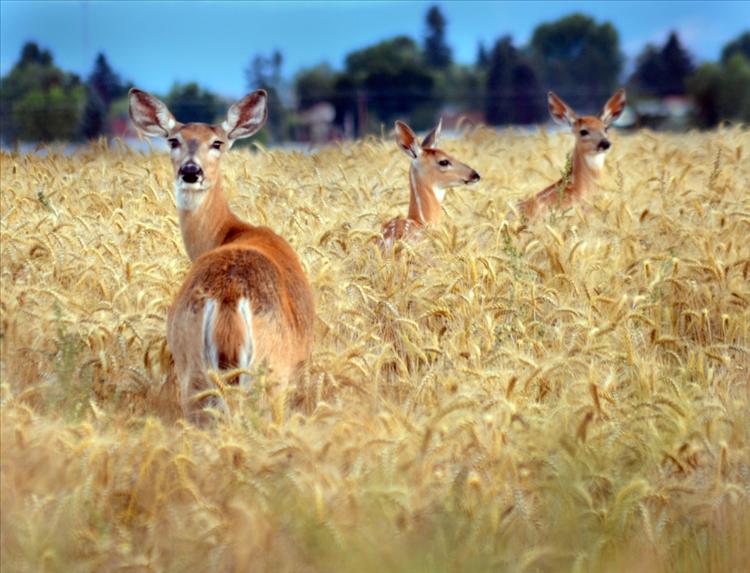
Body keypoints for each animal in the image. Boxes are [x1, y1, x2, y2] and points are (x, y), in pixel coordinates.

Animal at [129, 87, 314, 422]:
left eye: (217, 142)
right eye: (173, 140)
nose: (190, 171)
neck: (230, 231)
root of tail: (229, 296)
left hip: (193, 371)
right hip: (272, 371)